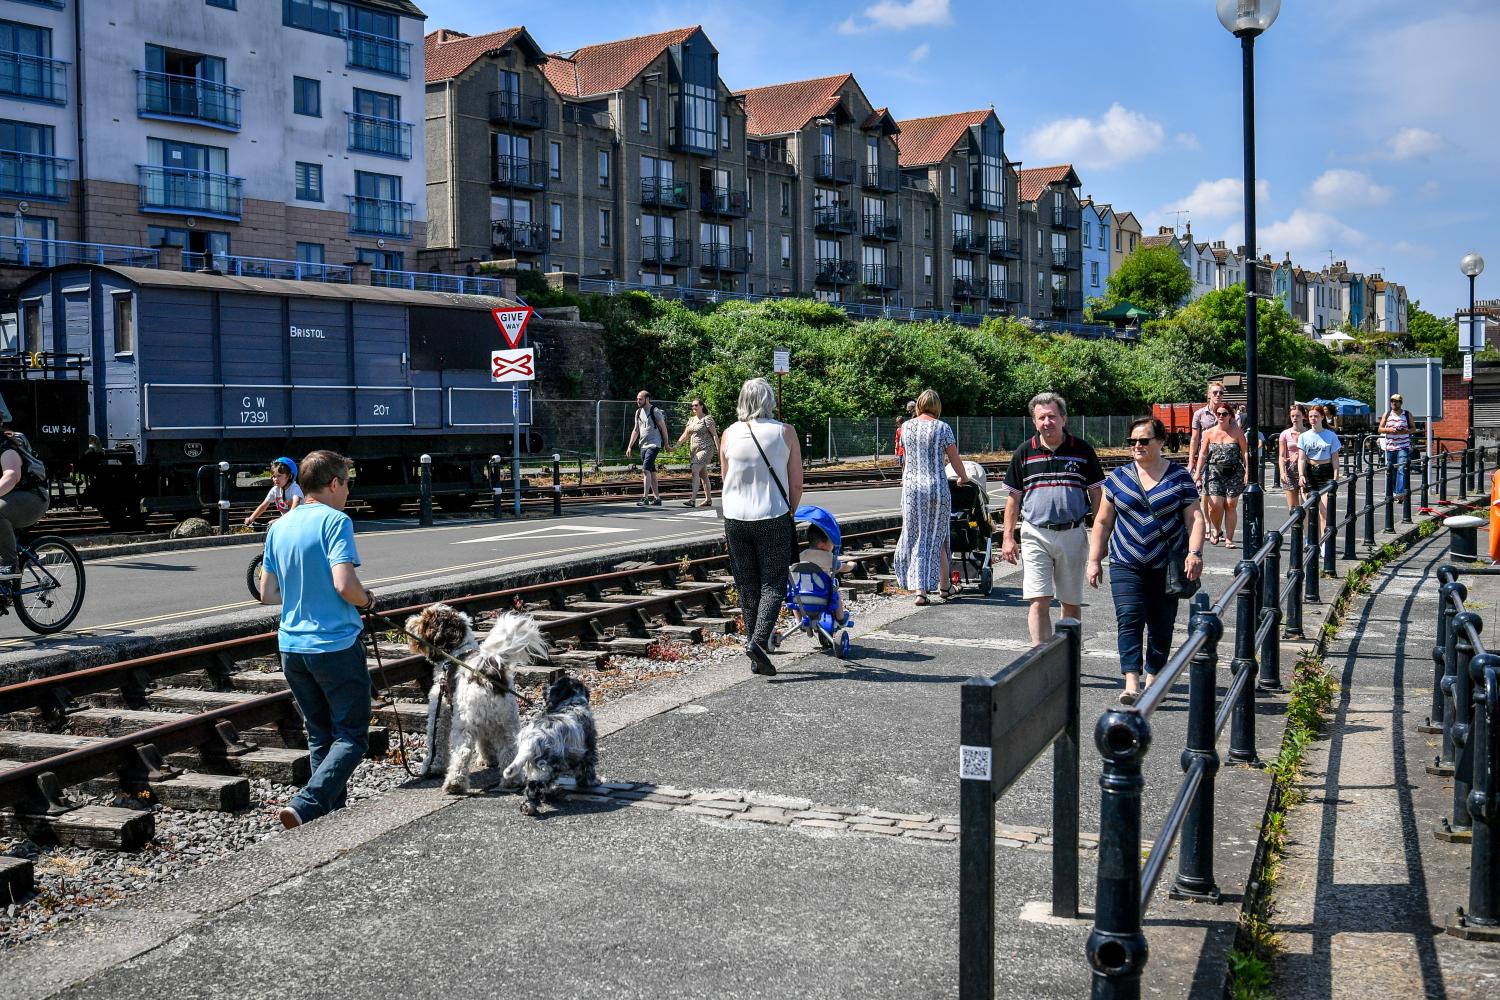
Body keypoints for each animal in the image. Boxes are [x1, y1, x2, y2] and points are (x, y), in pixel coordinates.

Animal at [405, 602, 552, 797]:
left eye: (425, 619)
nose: (409, 621)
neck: (457, 651)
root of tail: (486, 668)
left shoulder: (440, 712)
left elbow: (436, 743)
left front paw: (433, 767)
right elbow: (484, 740)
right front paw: (488, 759)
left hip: (464, 723)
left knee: (462, 752)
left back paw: (454, 784)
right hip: (507, 721)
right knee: (509, 751)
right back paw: (512, 781)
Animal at [504, 671, 597, 815]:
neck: (571, 704)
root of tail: (531, 739)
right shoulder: (588, 750)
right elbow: (587, 769)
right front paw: (591, 782)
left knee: (532, 788)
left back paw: (530, 805)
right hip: (547, 766)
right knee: (535, 786)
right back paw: (542, 800)